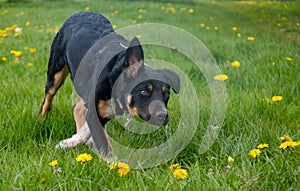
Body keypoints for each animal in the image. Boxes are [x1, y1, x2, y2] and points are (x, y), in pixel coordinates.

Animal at [39, 11, 180, 151]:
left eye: (166, 94)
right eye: (144, 91)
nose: (163, 115)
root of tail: (81, 12)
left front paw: (71, 142)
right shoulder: (96, 111)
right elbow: (105, 146)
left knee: (77, 106)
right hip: (56, 73)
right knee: (47, 99)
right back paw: (41, 120)